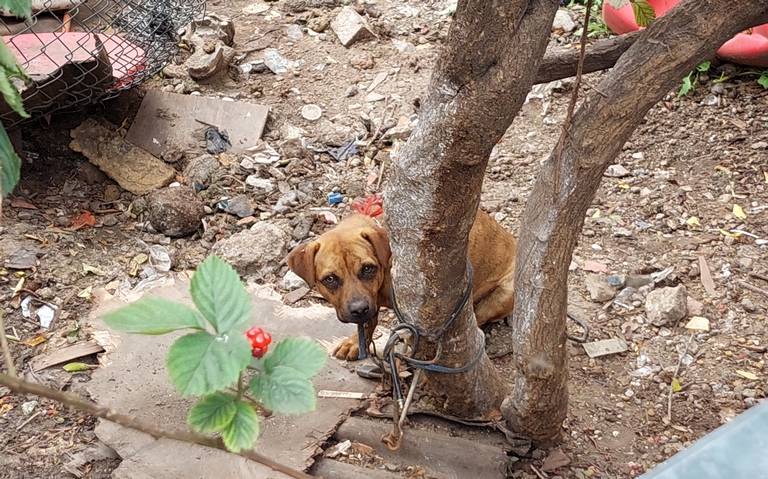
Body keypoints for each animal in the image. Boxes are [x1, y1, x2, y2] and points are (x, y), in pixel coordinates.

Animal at [286, 210, 516, 360]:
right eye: (330, 279)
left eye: (368, 268)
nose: (359, 309)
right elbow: (368, 322)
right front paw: (354, 342)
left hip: (503, 295)